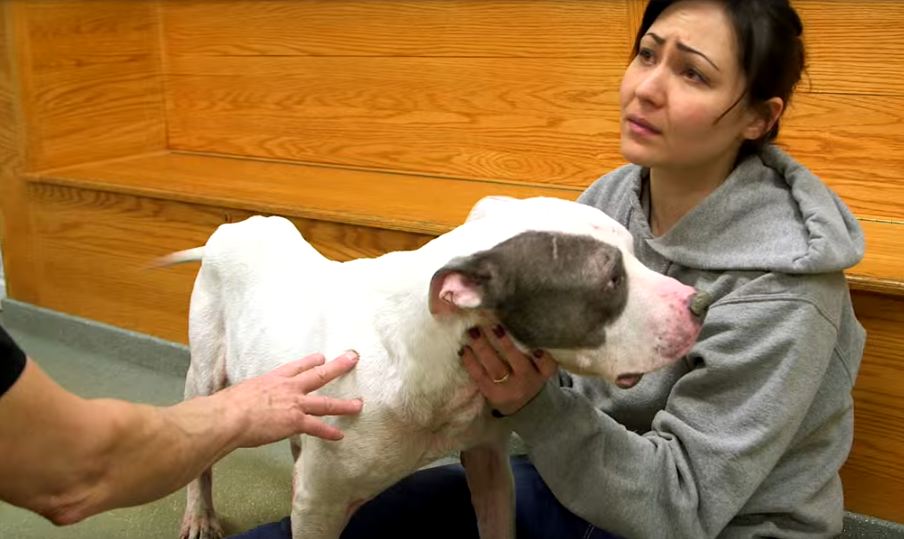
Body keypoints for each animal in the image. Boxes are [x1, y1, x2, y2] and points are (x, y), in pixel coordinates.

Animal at [164, 195, 708, 539]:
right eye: (612, 280)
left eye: (635, 254)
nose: (699, 303)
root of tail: (226, 231)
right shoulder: (318, 506)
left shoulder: (490, 464)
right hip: (206, 377)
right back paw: (199, 516)